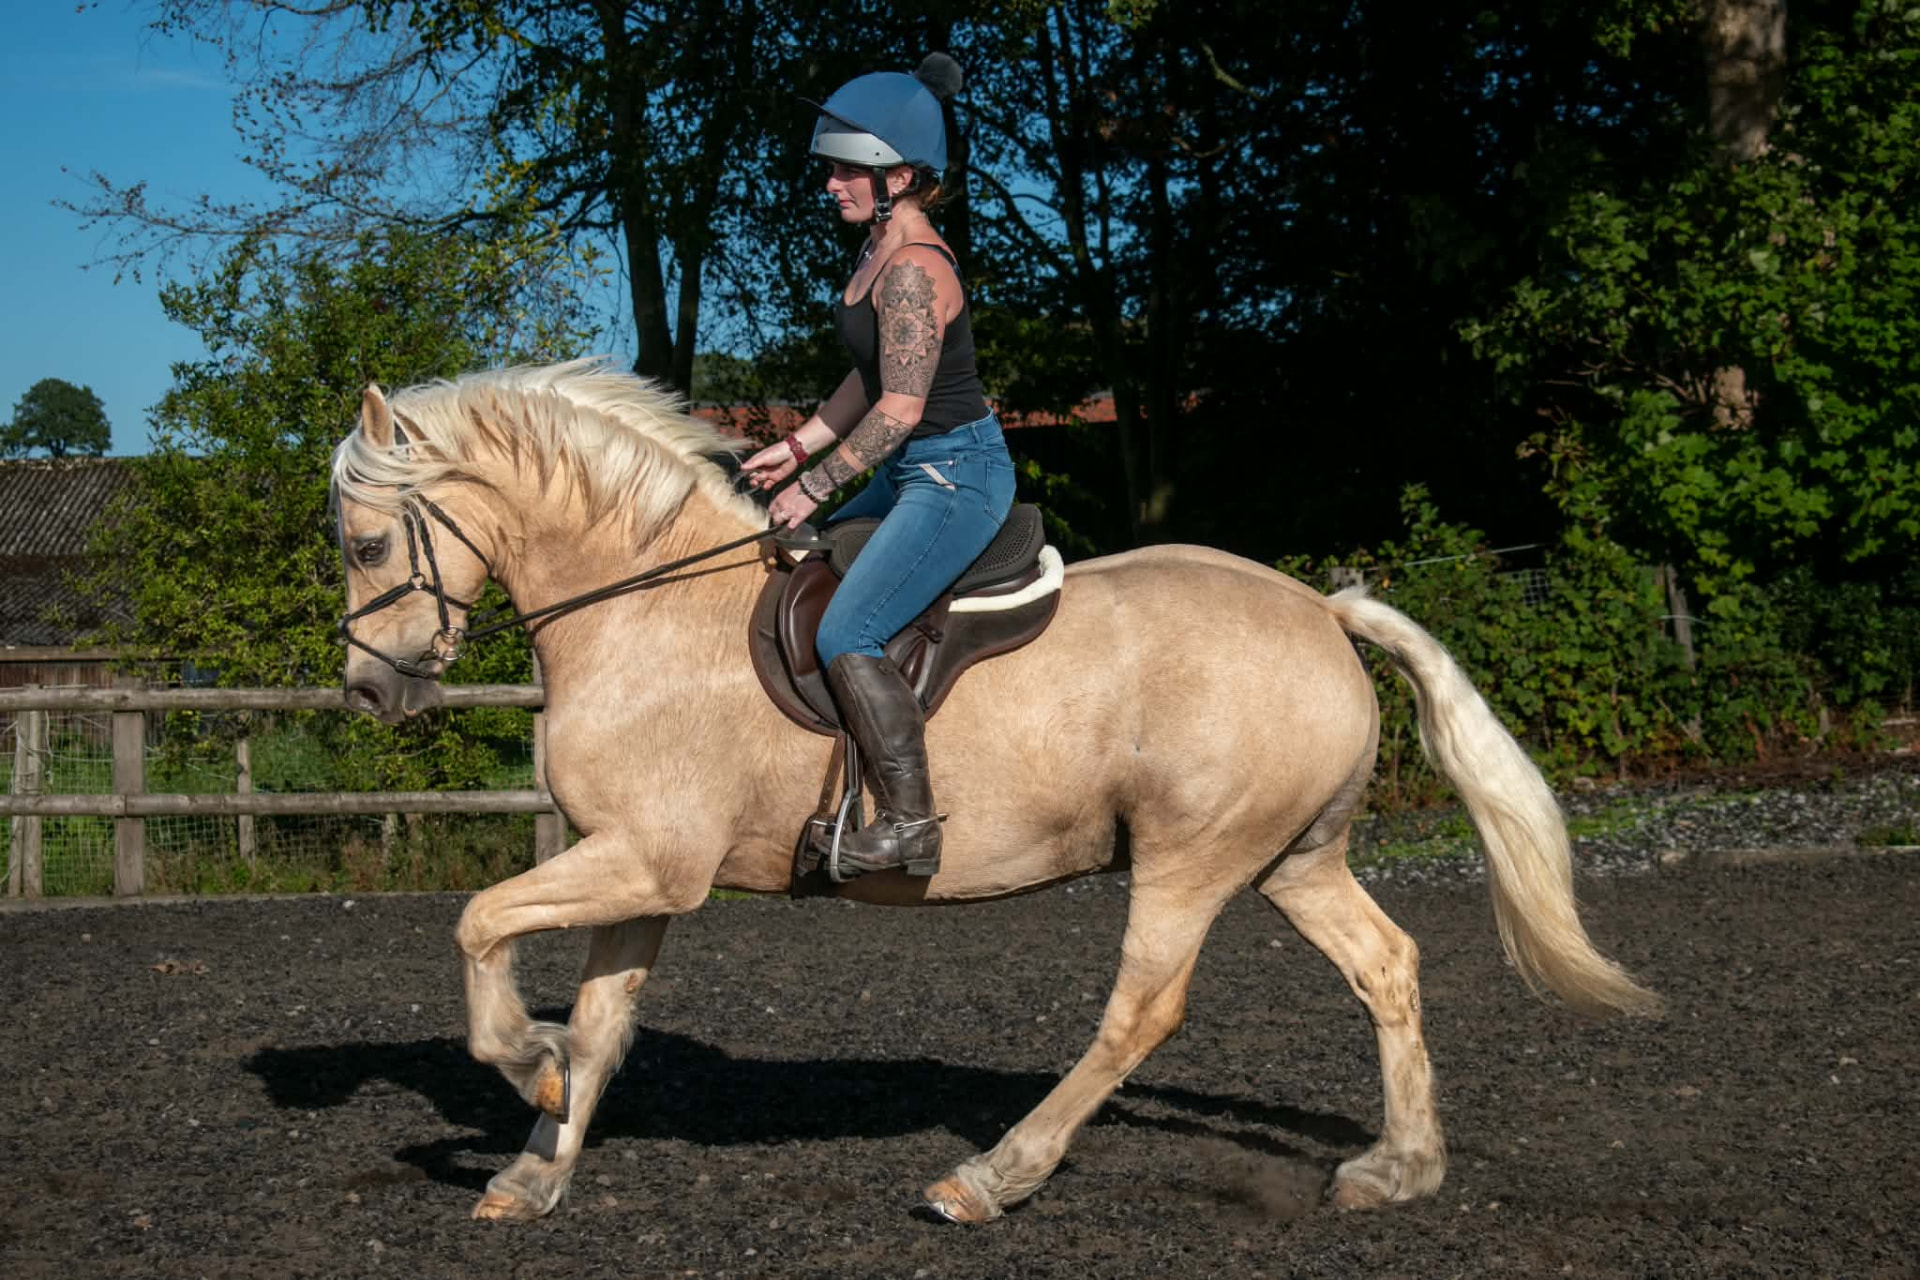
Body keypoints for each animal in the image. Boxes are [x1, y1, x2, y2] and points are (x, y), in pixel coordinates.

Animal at [330, 359, 1659, 1225]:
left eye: (364, 543)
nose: (369, 688)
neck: (647, 608)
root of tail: (1321, 611)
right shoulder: (639, 869)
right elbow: (604, 1021)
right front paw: (537, 1164)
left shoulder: (647, 857)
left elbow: (481, 926)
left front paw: (527, 1062)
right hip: (1293, 858)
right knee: (1386, 966)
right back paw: (1400, 1167)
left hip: (1191, 857)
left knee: (1142, 1010)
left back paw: (991, 1175)